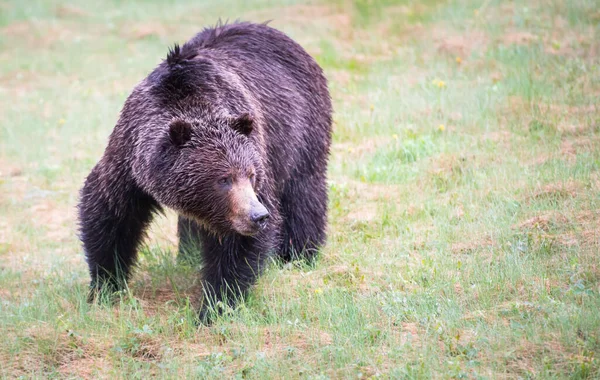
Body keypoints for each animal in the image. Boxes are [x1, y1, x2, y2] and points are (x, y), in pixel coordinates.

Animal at [78, 21, 332, 324]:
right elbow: (110, 214)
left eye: (251, 175)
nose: (258, 216)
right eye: (224, 179)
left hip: (301, 130)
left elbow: (235, 250)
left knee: (303, 191)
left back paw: (299, 255)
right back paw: (187, 255)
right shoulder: (128, 159)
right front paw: (105, 287)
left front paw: (215, 307)